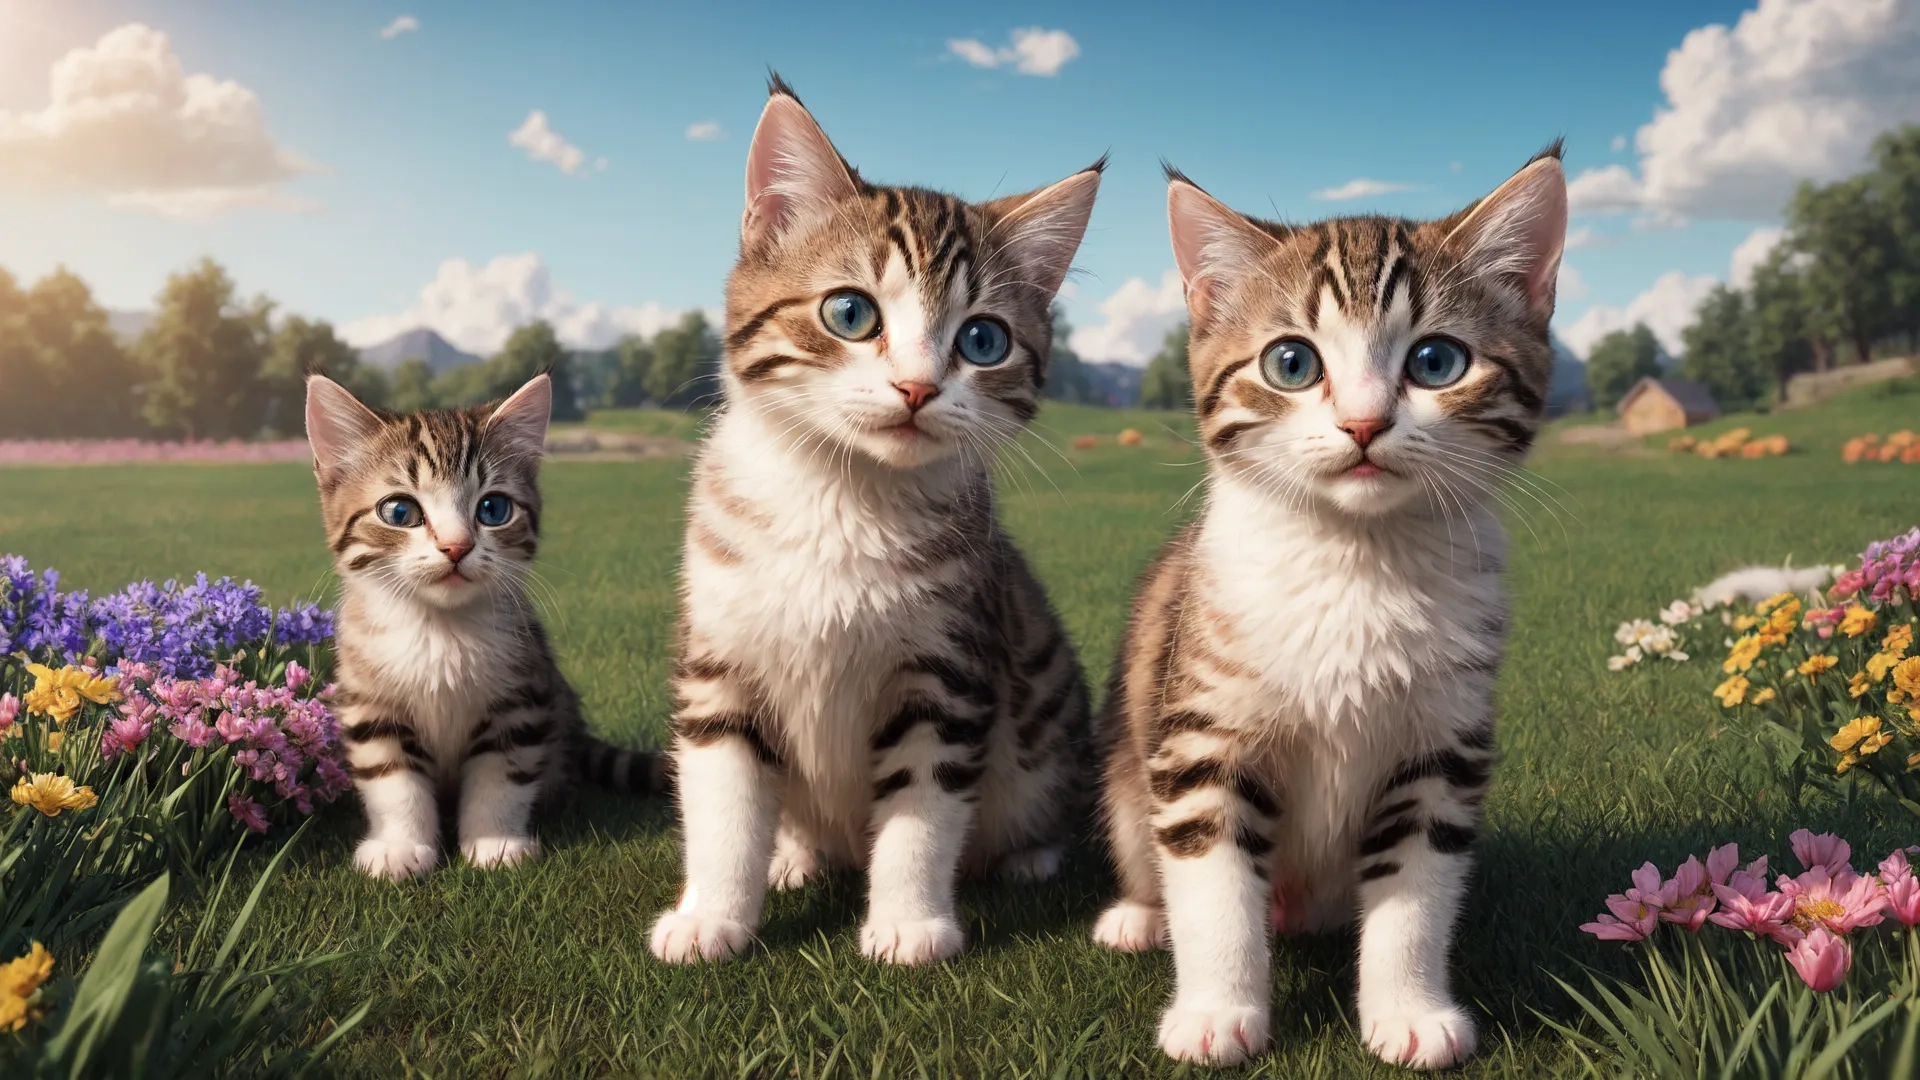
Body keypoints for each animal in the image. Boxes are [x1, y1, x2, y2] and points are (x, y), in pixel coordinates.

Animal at [297, 374, 660, 880]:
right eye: (399, 512)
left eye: (493, 509)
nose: (456, 546)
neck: (439, 629)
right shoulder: (367, 699)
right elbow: (392, 779)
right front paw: (400, 846)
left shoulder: (521, 697)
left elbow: (501, 775)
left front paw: (495, 843)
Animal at [645, 79, 1098, 960]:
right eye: (850, 313)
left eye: (983, 339)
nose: (918, 387)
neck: (841, 498)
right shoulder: (718, 656)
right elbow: (722, 802)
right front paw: (713, 913)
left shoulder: (947, 672)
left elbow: (922, 807)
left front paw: (908, 921)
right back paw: (793, 855)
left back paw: (1030, 855)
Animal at [1090, 153, 1566, 1068]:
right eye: (1291, 363)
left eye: (1437, 360)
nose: (1363, 421)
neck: (1355, 561)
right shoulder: (1202, 738)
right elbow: (1213, 886)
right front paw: (1217, 1011)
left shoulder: (1441, 749)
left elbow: (1416, 892)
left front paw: (1409, 1009)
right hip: (1133, 758)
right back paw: (1136, 914)